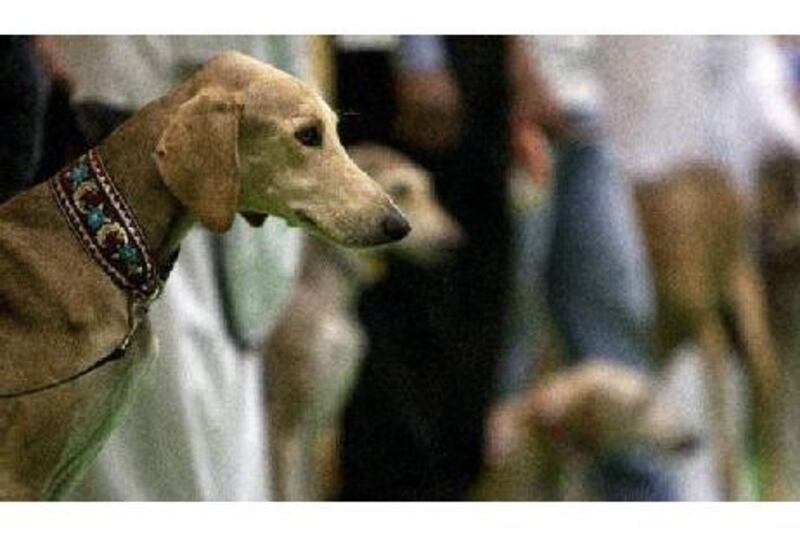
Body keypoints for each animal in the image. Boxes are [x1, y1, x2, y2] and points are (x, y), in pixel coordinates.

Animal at [264, 143, 462, 500]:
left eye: (429, 189)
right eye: (402, 189)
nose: (454, 240)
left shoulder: (315, 424)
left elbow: (308, 492)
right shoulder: (283, 422)